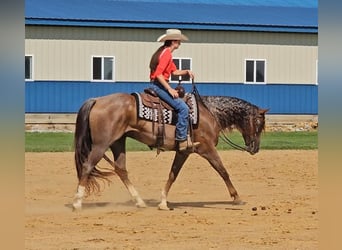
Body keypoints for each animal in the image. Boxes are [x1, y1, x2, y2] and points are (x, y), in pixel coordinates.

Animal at [72, 90, 268, 211]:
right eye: (259, 124)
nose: (255, 148)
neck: (209, 112)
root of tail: (97, 100)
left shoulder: (184, 151)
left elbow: (173, 174)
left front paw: (163, 202)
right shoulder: (206, 148)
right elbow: (222, 170)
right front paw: (237, 198)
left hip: (118, 142)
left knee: (121, 169)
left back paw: (139, 201)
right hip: (101, 144)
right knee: (87, 166)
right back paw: (77, 203)